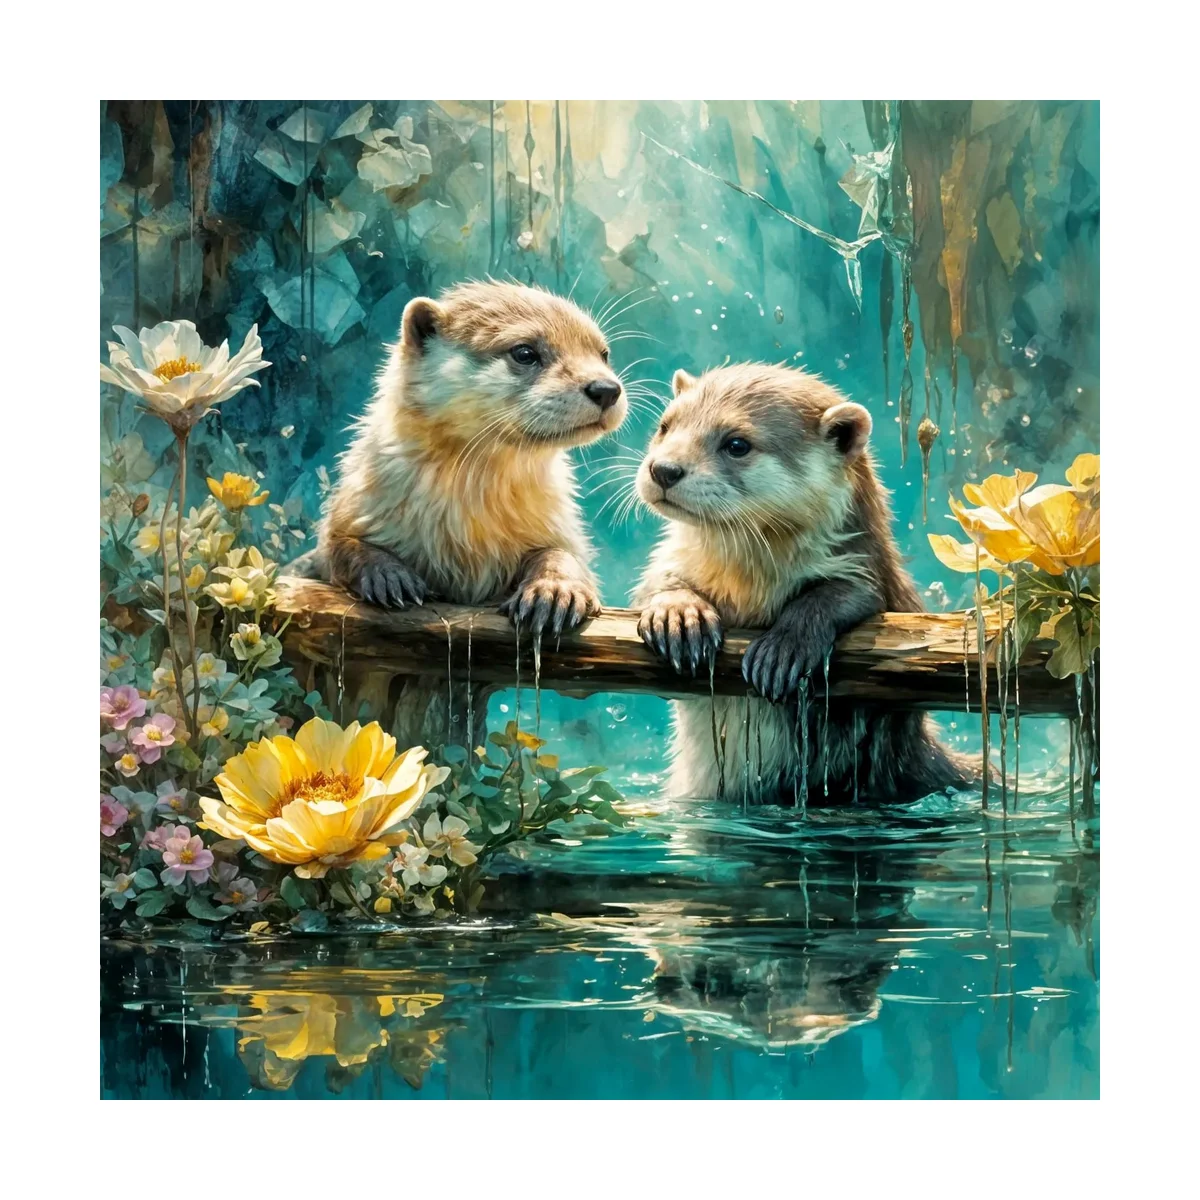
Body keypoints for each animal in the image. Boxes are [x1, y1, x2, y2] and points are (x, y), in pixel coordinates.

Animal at [290, 281, 626, 636]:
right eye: (525, 353)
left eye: (604, 353)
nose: (606, 388)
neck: (466, 530)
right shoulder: (353, 505)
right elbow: (337, 547)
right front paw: (389, 576)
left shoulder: (559, 524)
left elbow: (563, 554)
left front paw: (554, 590)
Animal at [633, 363, 971, 805]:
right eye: (665, 426)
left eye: (737, 444)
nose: (664, 469)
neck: (751, 586)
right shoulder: (671, 559)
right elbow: (657, 583)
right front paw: (678, 614)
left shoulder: (871, 568)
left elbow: (851, 595)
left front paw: (785, 648)